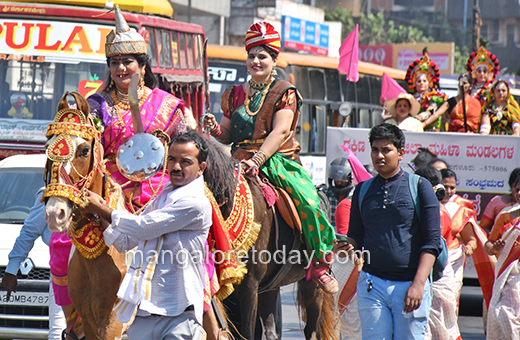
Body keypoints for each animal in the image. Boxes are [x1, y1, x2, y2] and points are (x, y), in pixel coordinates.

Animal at [203, 143, 338, 340]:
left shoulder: (249, 286)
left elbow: (246, 334)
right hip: (271, 285)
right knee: (271, 331)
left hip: (311, 285)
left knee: (312, 329)